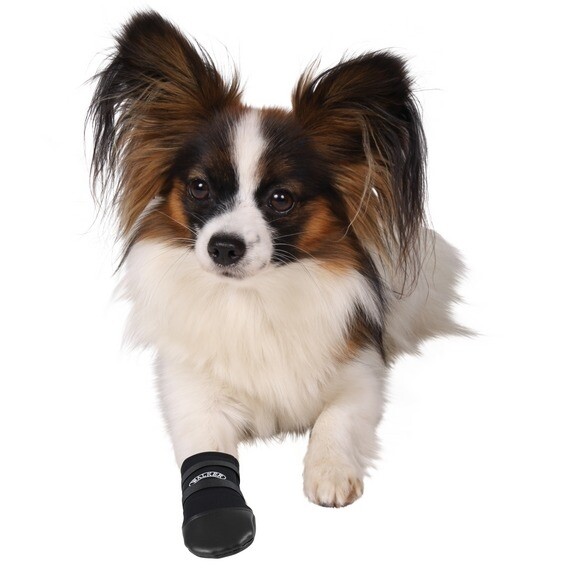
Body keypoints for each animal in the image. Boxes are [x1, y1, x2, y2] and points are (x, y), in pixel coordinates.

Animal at [88, 10, 465, 557]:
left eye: (281, 198)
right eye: (199, 187)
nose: (223, 247)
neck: (255, 296)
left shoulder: (361, 373)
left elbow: (336, 419)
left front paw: (329, 471)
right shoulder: (190, 393)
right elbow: (205, 452)